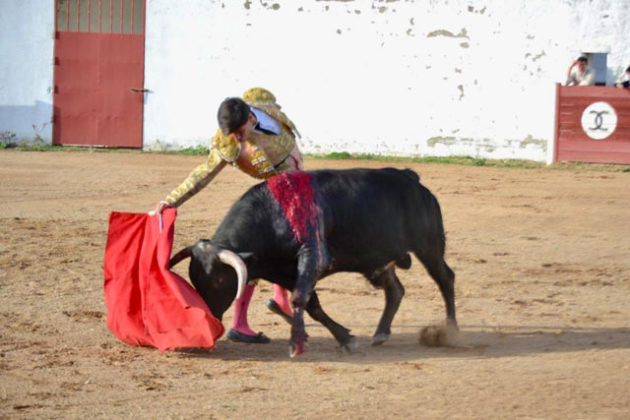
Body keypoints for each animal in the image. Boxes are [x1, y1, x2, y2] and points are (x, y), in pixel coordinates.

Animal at [170, 167, 456, 354]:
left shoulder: (314, 256)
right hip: (379, 260)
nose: (210, 320)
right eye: (194, 279)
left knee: (445, 278)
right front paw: (344, 338)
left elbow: (300, 299)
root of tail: (410, 177)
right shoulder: (285, 272)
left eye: (219, 281)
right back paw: (380, 333)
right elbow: (312, 304)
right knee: (395, 290)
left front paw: (297, 343)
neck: (272, 213)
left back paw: (451, 329)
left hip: (429, 245)